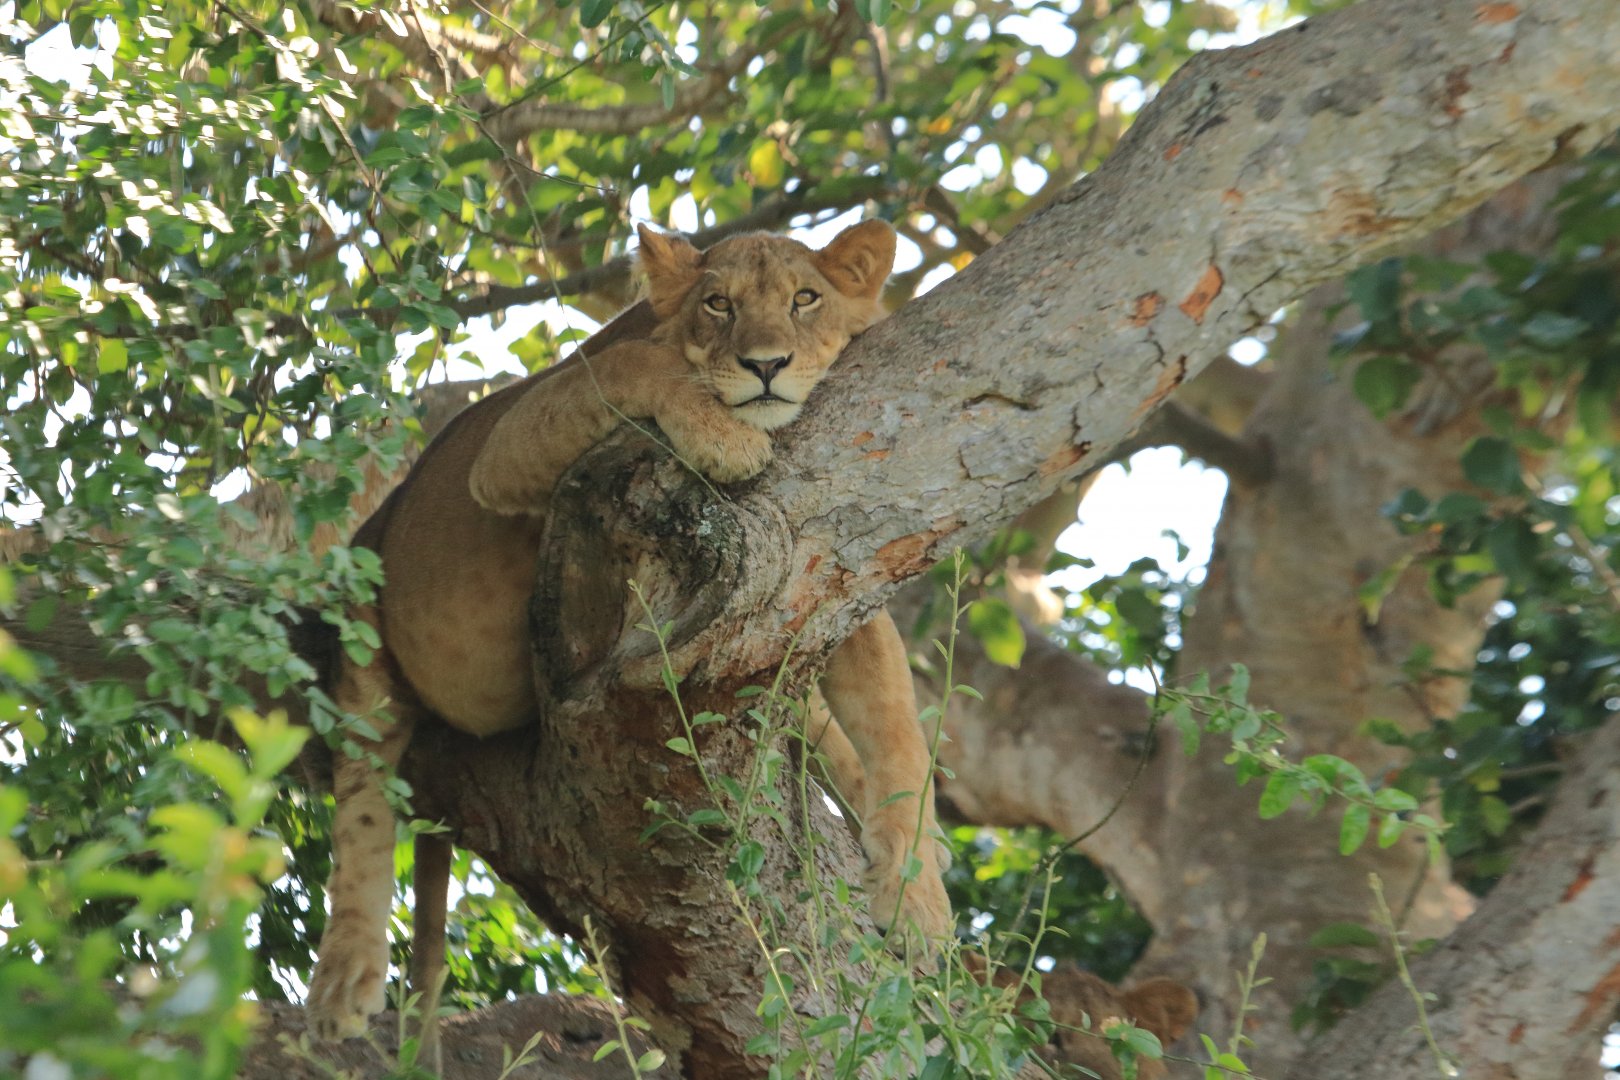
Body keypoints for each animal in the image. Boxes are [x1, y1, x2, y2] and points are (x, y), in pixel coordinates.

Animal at [305, 220, 954, 1046]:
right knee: (362, 801)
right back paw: (344, 981)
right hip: (362, 614)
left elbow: (897, 732)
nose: (766, 365)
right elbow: (636, 359)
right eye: (718, 305)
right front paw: (724, 438)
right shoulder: (506, 446)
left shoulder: (835, 564)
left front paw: (918, 901)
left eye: (806, 299)